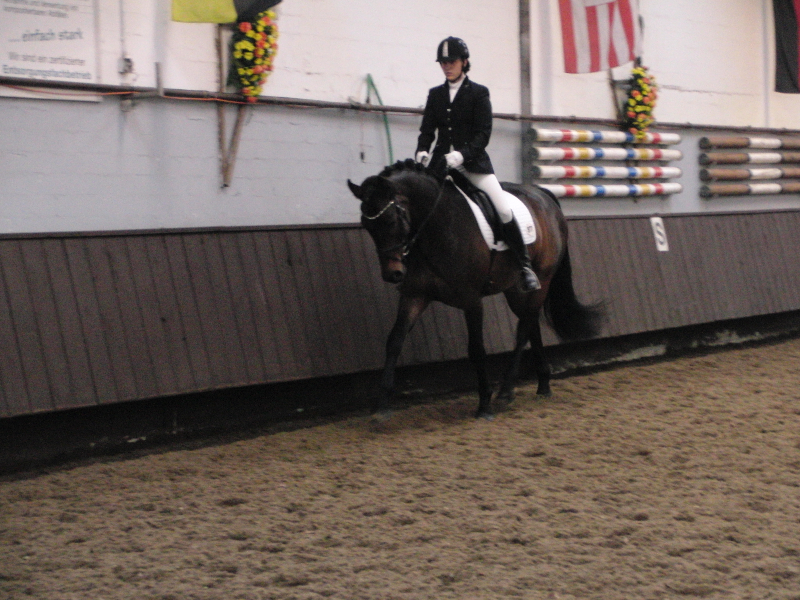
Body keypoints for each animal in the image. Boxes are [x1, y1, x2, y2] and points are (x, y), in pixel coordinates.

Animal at [347, 159, 603, 419]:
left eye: (389, 221)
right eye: (367, 226)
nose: (392, 274)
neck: (436, 226)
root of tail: (542, 194)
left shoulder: (471, 300)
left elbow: (476, 349)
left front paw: (484, 404)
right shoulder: (415, 295)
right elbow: (395, 340)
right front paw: (382, 405)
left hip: (542, 280)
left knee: (523, 330)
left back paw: (506, 391)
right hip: (515, 290)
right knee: (531, 324)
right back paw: (543, 384)